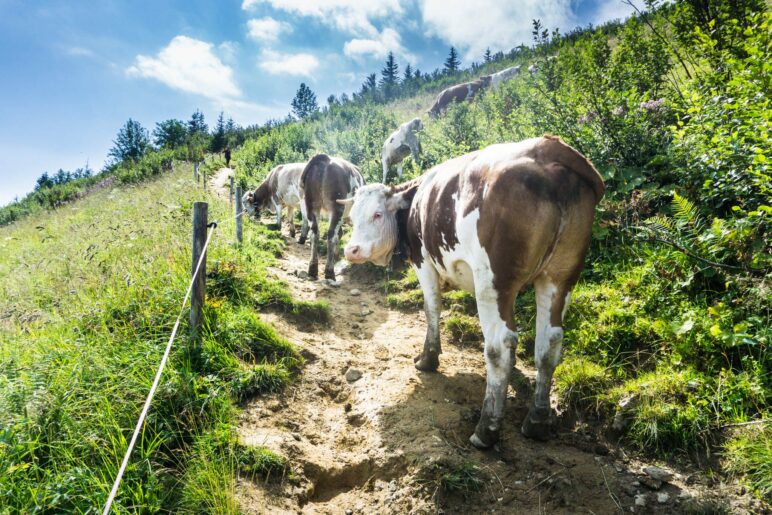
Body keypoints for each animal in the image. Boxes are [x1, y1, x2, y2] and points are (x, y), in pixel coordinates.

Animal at [340, 136, 604, 448]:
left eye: (377, 214)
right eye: (351, 217)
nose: (351, 250)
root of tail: (548, 151)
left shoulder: (423, 262)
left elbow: (431, 308)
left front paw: (428, 359)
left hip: (493, 280)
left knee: (500, 345)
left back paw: (486, 429)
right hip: (559, 276)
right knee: (549, 342)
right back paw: (537, 421)